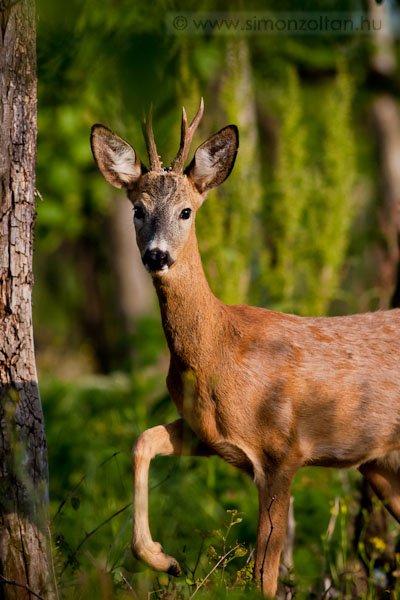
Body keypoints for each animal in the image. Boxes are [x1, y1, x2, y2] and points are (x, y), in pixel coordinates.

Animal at [90, 101, 400, 596]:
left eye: (186, 211)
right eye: (137, 209)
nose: (157, 255)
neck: (221, 350)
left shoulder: (283, 451)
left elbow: (264, 578)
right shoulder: (210, 434)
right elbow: (143, 440)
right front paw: (166, 560)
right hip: (381, 466)